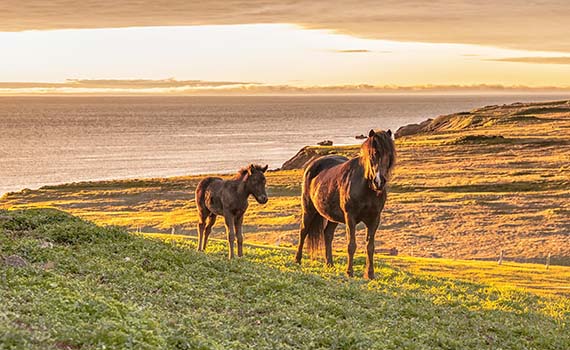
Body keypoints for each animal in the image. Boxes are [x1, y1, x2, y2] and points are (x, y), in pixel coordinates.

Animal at [292, 129, 394, 278]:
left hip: (332, 216)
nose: (379, 181)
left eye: (389, 155)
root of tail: (312, 164)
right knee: (303, 231)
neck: (366, 187)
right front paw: (349, 272)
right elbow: (351, 245)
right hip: (309, 210)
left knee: (327, 234)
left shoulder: (374, 219)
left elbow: (370, 247)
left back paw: (329, 264)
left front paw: (370, 274)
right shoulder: (350, 217)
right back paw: (297, 260)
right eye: (373, 154)